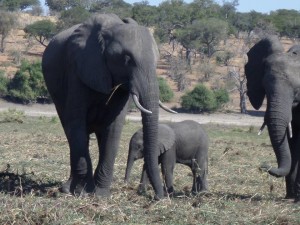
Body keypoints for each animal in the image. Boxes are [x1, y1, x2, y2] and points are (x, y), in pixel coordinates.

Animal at [41, 13, 173, 199]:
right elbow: (76, 121)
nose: (157, 197)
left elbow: (114, 127)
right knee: (72, 133)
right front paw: (83, 192)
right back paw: (68, 189)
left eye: (157, 61)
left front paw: (101, 194)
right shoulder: (78, 68)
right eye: (127, 60)